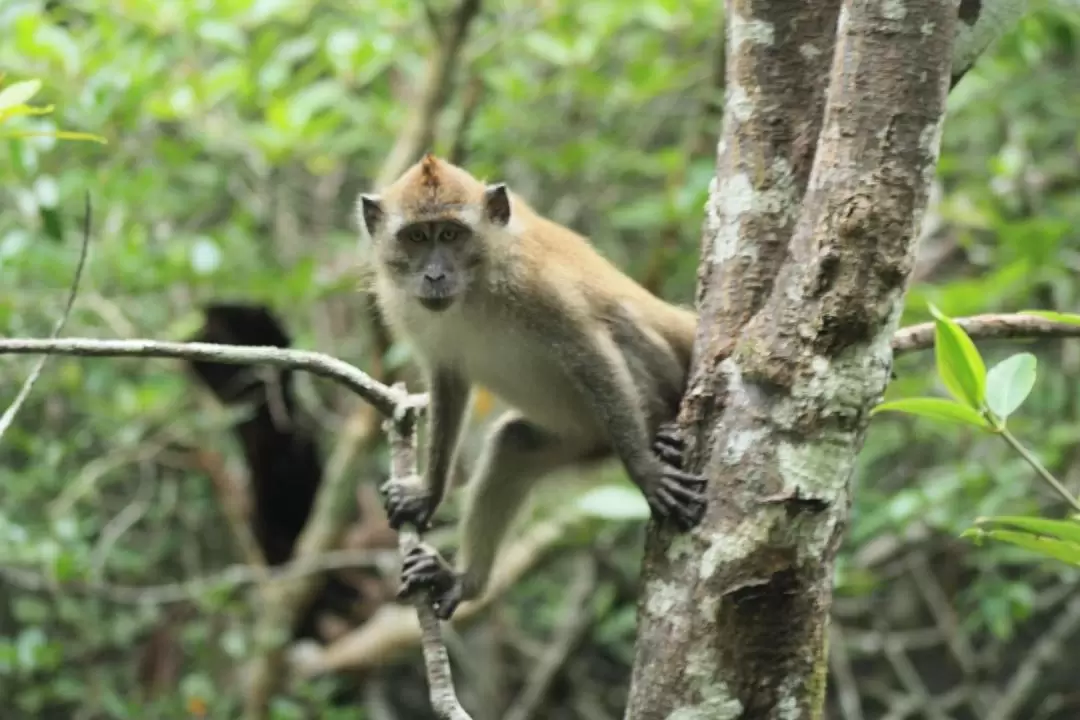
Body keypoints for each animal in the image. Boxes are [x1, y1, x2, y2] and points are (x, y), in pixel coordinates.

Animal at [358, 153, 704, 621]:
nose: (434, 275)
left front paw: (647, 472)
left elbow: (590, 352)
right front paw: (427, 495)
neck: (475, 288)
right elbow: (449, 381)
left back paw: (662, 436)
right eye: (415, 237)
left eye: (450, 234)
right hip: (587, 441)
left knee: (622, 324)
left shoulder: (537, 286)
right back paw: (465, 581)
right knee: (513, 444)